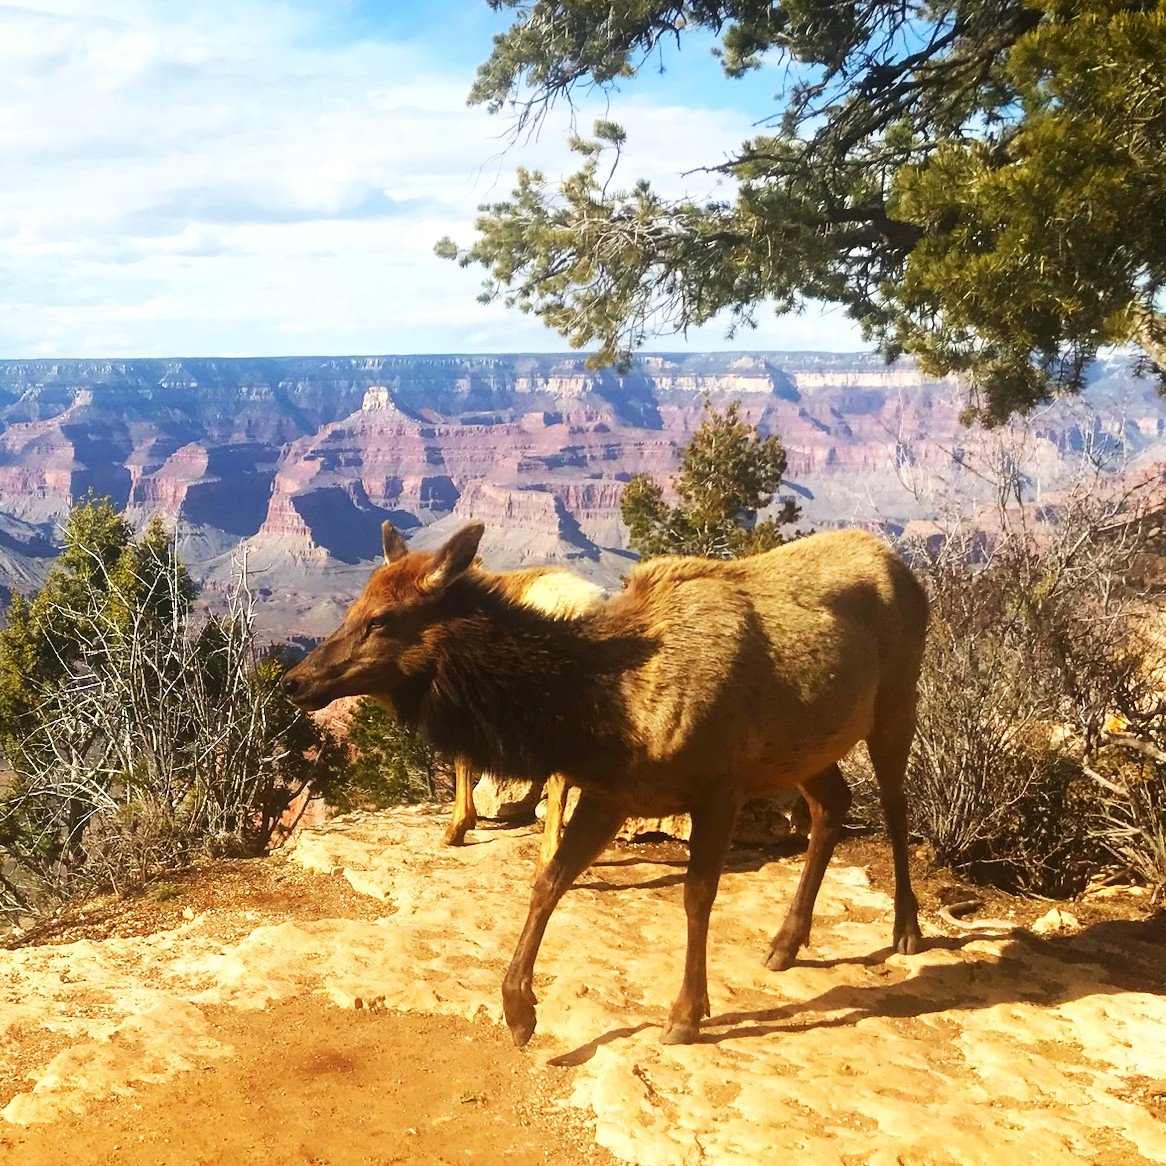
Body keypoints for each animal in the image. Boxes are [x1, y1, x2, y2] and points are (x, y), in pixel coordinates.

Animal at [283, 520, 929, 1046]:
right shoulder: (613, 792)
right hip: (808, 745)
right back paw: (787, 941)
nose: (295, 681)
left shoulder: (720, 785)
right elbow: (549, 881)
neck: (603, 710)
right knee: (833, 806)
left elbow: (696, 896)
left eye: (382, 619)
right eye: (353, 606)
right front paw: (519, 1011)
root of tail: (903, 567)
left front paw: (686, 1014)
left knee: (895, 805)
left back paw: (906, 929)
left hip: (897, 702)